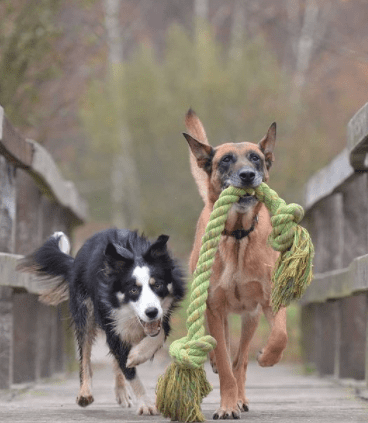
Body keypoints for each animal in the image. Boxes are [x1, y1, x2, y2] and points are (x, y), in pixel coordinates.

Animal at [17, 230, 185, 416]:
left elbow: (158, 334)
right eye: (133, 290)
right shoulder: (110, 321)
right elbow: (128, 370)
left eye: (158, 285)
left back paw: (121, 391)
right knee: (85, 355)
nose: (151, 312)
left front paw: (137, 355)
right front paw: (146, 404)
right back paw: (85, 393)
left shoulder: (163, 315)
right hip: (84, 311)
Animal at [183, 110, 288, 420]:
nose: (248, 175)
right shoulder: (214, 307)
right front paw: (227, 406)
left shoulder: (269, 301)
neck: (239, 235)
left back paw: (242, 394)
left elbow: (279, 335)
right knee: (226, 354)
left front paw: (267, 357)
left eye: (255, 158)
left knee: (240, 360)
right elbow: (225, 363)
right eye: (226, 159)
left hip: (250, 317)